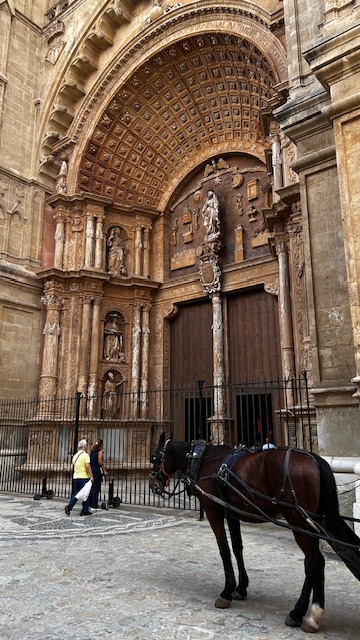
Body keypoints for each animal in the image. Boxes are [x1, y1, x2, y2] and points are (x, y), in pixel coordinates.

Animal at [149, 432, 360, 632]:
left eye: (153, 458)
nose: (153, 486)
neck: (203, 460)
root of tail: (315, 459)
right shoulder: (231, 512)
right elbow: (237, 547)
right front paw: (241, 588)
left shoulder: (213, 509)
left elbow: (224, 549)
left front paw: (226, 592)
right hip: (309, 523)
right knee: (310, 562)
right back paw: (297, 613)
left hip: (298, 520)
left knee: (315, 561)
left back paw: (311, 615)